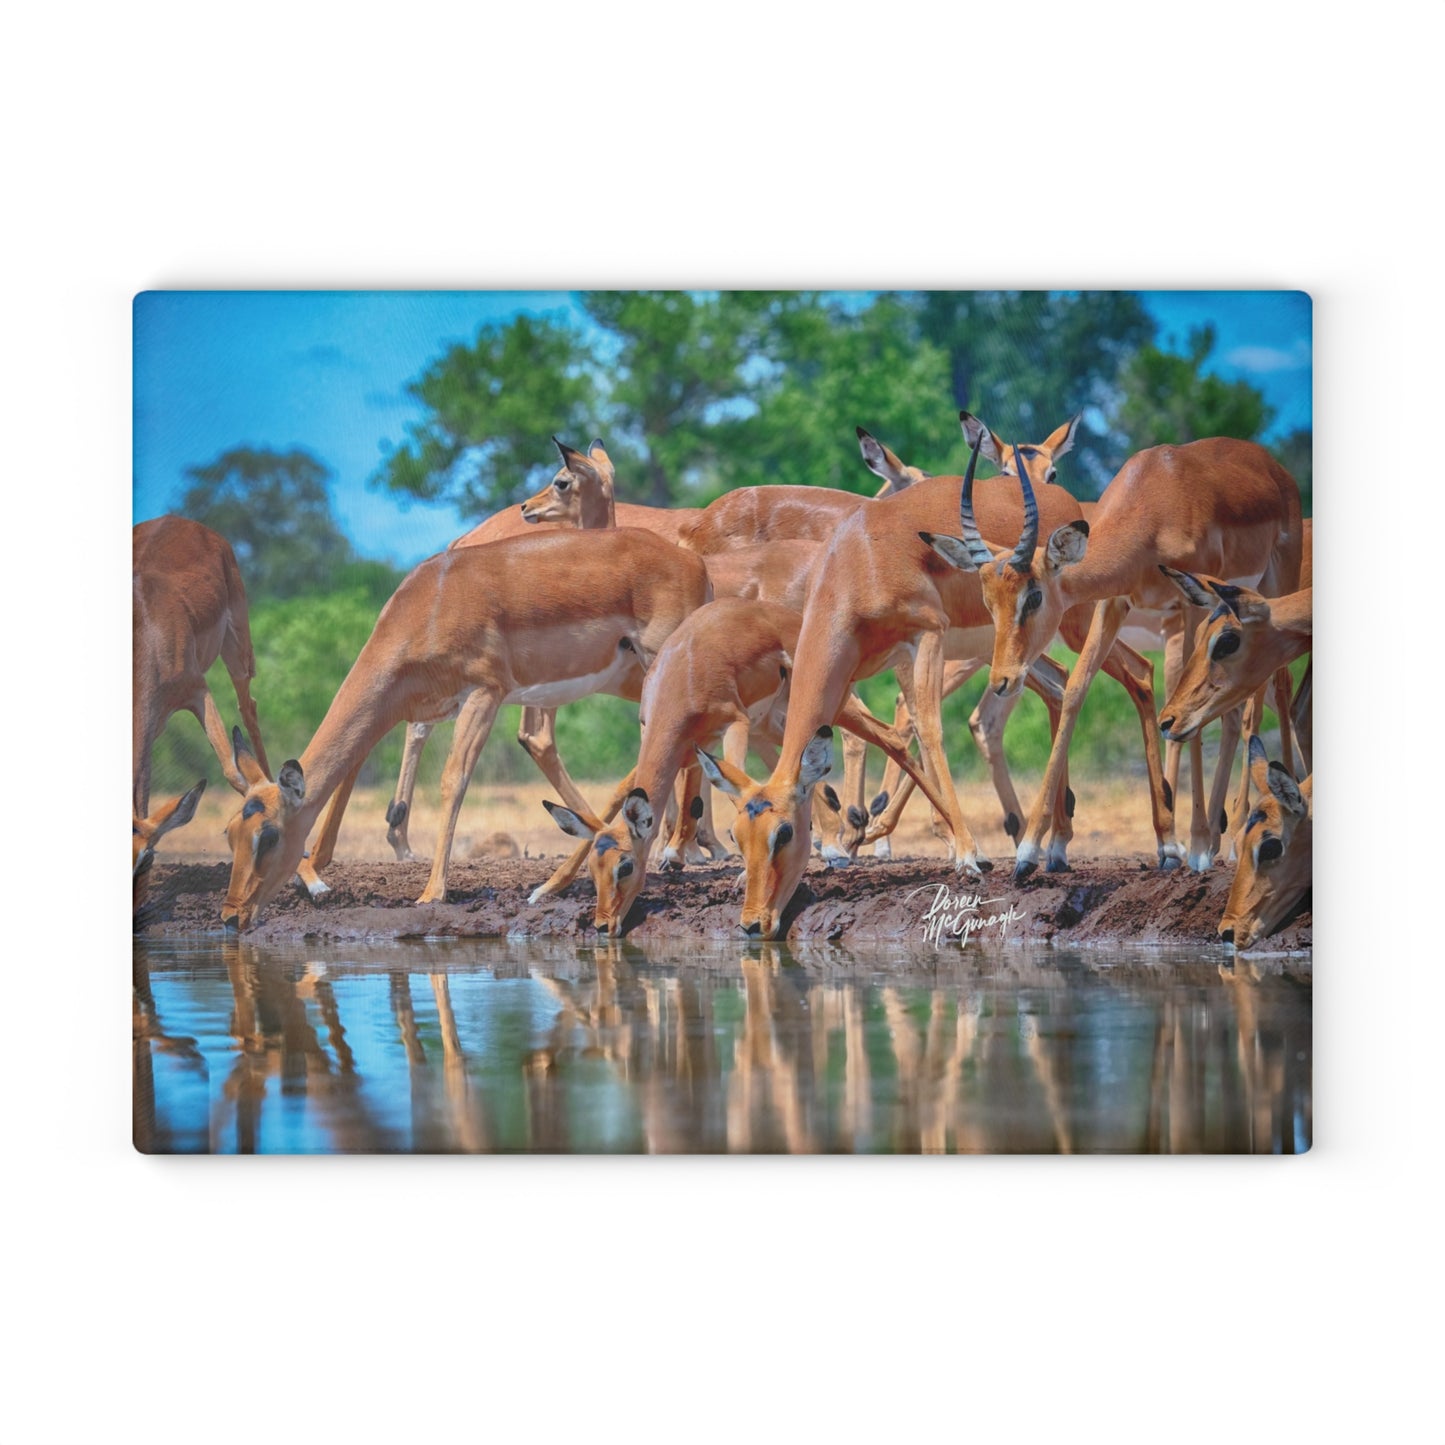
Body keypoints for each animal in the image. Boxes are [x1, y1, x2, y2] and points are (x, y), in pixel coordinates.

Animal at [219, 527, 710, 930]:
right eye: (230, 833)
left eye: (268, 835)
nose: (230, 916)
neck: (429, 603)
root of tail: (695, 564)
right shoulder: (417, 711)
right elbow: (349, 777)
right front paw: (314, 875)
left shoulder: (484, 693)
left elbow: (453, 780)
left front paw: (431, 892)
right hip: (632, 679)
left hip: (656, 666)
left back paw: (662, 856)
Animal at [531, 596, 955, 934]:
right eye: (594, 869)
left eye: (625, 867)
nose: (603, 926)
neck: (682, 674)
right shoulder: (683, 747)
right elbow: (619, 794)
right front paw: (546, 888)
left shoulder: (733, 723)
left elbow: (739, 790)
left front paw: (735, 874)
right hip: (772, 725)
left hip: (823, 709)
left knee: (893, 738)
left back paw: (951, 844)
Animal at [925, 436, 1303, 880]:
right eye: (989, 603)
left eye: (1033, 597)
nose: (1003, 680)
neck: (1155, 499)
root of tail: (1271, 465)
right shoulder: (1113, 602)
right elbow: (1075, 690)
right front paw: (1031, 852)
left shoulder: (1191, 606)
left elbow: (1184, 706)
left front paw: (1190, 849)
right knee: (1236, 706)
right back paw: (1220, 834)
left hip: (1272, 586)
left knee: (1275, 686)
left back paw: (1236, 833)